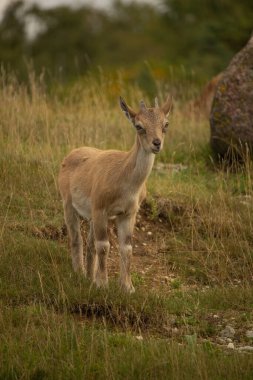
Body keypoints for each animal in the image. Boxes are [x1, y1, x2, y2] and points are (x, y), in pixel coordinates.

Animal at [58, 95, 172, 294]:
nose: (156, 143)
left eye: (165, 124)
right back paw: (79, 272)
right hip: (69, 204)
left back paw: (89, 275)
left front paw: (127, 287)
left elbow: (126, 247)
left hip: (91, 216)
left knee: (90, 244)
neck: (124, 181)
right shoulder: (100, 208)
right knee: (76, 238)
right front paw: (102, 284)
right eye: (139, 125)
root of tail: (69, 155)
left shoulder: (128, 213)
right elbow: (104, 245)